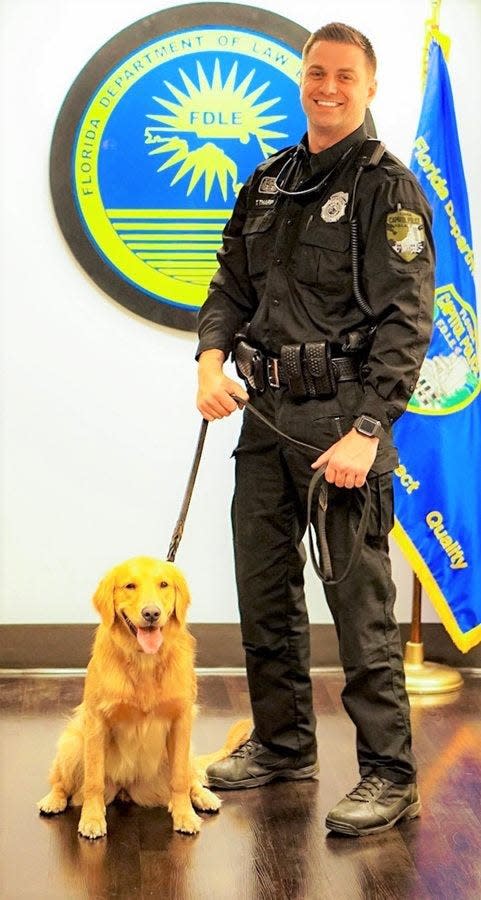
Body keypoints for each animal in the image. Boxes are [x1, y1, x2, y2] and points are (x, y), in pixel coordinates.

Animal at [38, 556, 251, 836]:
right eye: (130, 585)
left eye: (164, 584)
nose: (152, 614)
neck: (144, 661)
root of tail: (125, 789)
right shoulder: (96, 721)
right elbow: (93, 780)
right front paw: (92, 818)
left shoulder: (182, 721)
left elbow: (180, 780)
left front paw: (184, 815)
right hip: (73, 741)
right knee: (61, 782)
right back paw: (53, 800)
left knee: (191, 778)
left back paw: (203, 797)